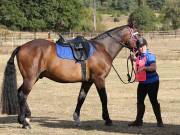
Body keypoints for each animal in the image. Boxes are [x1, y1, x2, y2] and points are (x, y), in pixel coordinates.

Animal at [0, 24, 135, 129]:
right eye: (136, 35)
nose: (139, 45)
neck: (102, 48)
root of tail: (21, 47)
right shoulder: (99, 79)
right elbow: (104, 98)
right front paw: (107, 119)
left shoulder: (87, 81)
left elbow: (81, 98)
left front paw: (76, 118)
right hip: (30, 79)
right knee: (23, 95)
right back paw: (25, 122)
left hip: (33, 78)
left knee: (19, 93)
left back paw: (25, 118)